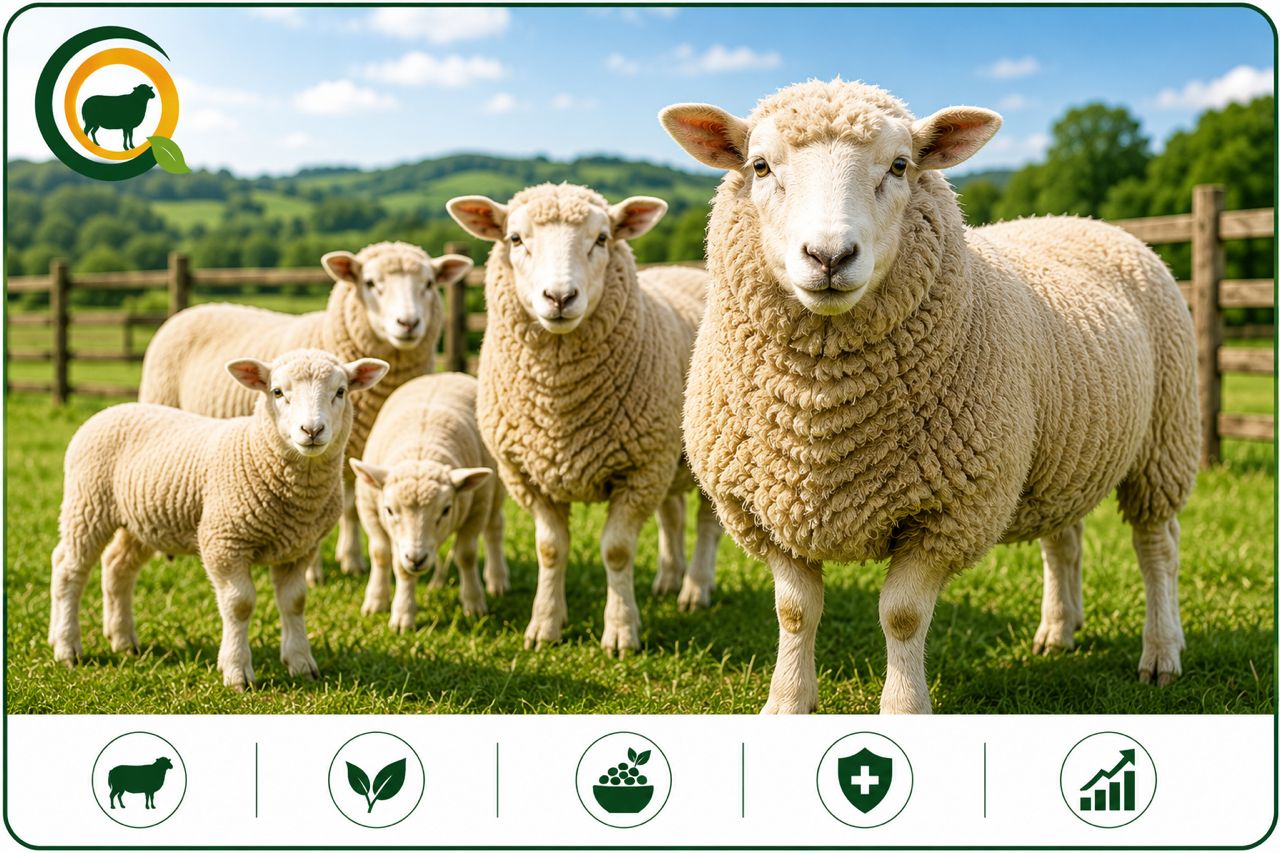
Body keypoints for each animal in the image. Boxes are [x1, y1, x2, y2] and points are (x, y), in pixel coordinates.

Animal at [49, 349, 389, 689]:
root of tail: (112, 410)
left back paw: (122, 640)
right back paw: (67, 646)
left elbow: (295, 602)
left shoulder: (300, 548)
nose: (312, 431)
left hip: (140, 521)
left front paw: (301, 663)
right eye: (277, 392)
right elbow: (240, 604)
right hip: (87, 505)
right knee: (68, 568)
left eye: (340, 392)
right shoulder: (224, 541)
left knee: (117, 566)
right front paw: (237, 672)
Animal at [139, 241, 472, 586]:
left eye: (429, 283)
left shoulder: (354, 450)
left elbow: (349, 509)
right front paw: (314, 572)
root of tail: (194, 308)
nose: (408, 324)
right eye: (369, 283)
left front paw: (351, 560)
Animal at [350, 372, 509, 631]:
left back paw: (497, 579)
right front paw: (390, 608)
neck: (421, 448)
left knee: (494, 528)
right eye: (389, 510)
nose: (417, 559)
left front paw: (474, 603)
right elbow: (384, 556)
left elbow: (466, 555)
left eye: (446, 510)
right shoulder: (369, 509)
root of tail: (445, 373)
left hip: (495, 492)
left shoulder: (477, 509)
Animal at [446, 183, 724, 654]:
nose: (560, 298)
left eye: (602, 238)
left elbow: (616, 551)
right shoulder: (528, 475)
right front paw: (544, 626)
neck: (560, 410)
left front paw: (621, 632)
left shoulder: (639, 470)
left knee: (706, 523)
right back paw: (668, 580)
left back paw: (694, 589)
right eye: (515, 239)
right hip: (668, 456)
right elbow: (550, 549)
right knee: (672, 514)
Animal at [659, 79, 1198, 714]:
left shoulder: (948, 512)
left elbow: (903, 616)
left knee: (1158, 546)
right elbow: (794, 612)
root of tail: (1086, 221)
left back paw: (1161, 653)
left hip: (1163, 440)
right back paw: (1057, 631)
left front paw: (904, 707)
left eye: (899, 165)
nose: (829, 257)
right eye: (760, 166)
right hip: (1057, 455)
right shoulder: (771, 507)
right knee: (1063, 540)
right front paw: (787, 702)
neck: (820, 418)